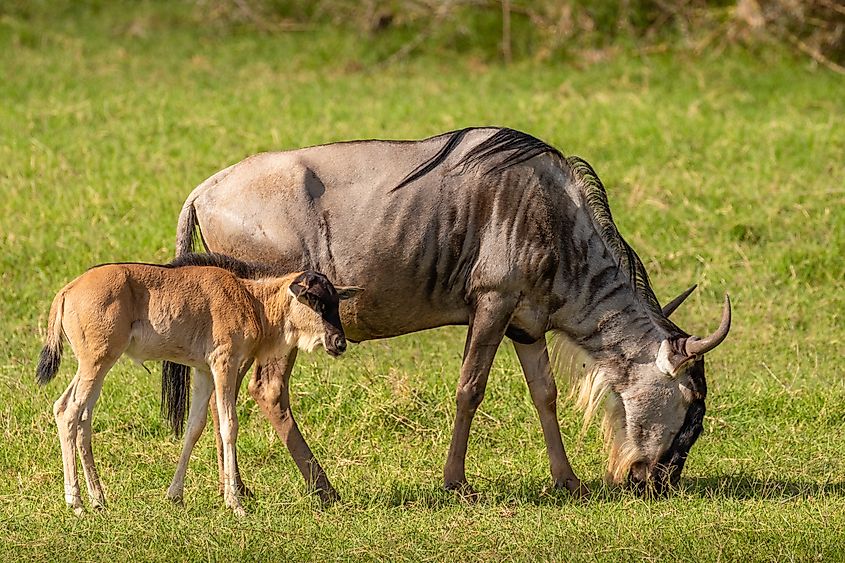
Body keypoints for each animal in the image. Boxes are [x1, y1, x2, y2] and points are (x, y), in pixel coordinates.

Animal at [36, 253, 361, 515]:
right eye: (315, 300)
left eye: (335, 300)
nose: (339, 343)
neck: (251, 298)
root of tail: (68, 291)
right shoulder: (224, 364)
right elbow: (229, 425)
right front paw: (235, 504)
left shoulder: (204, 372)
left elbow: (195, 427)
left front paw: (175, 496)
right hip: (96, 362)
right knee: (68, 412)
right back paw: (76, 503)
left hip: (98, 366)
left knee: (80, 416)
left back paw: (98, 500)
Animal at [167, 127, 731, 500]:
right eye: (693, 407)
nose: (656, 485)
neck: (554, 218)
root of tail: (204, 189)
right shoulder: (493, 303)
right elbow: (470, 389)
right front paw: (456, 483)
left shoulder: (526, 325)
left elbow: (545, 395)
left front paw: (568, 481)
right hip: (282, 323)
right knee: (266, 390)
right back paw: (323, 487)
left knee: (233, 393)